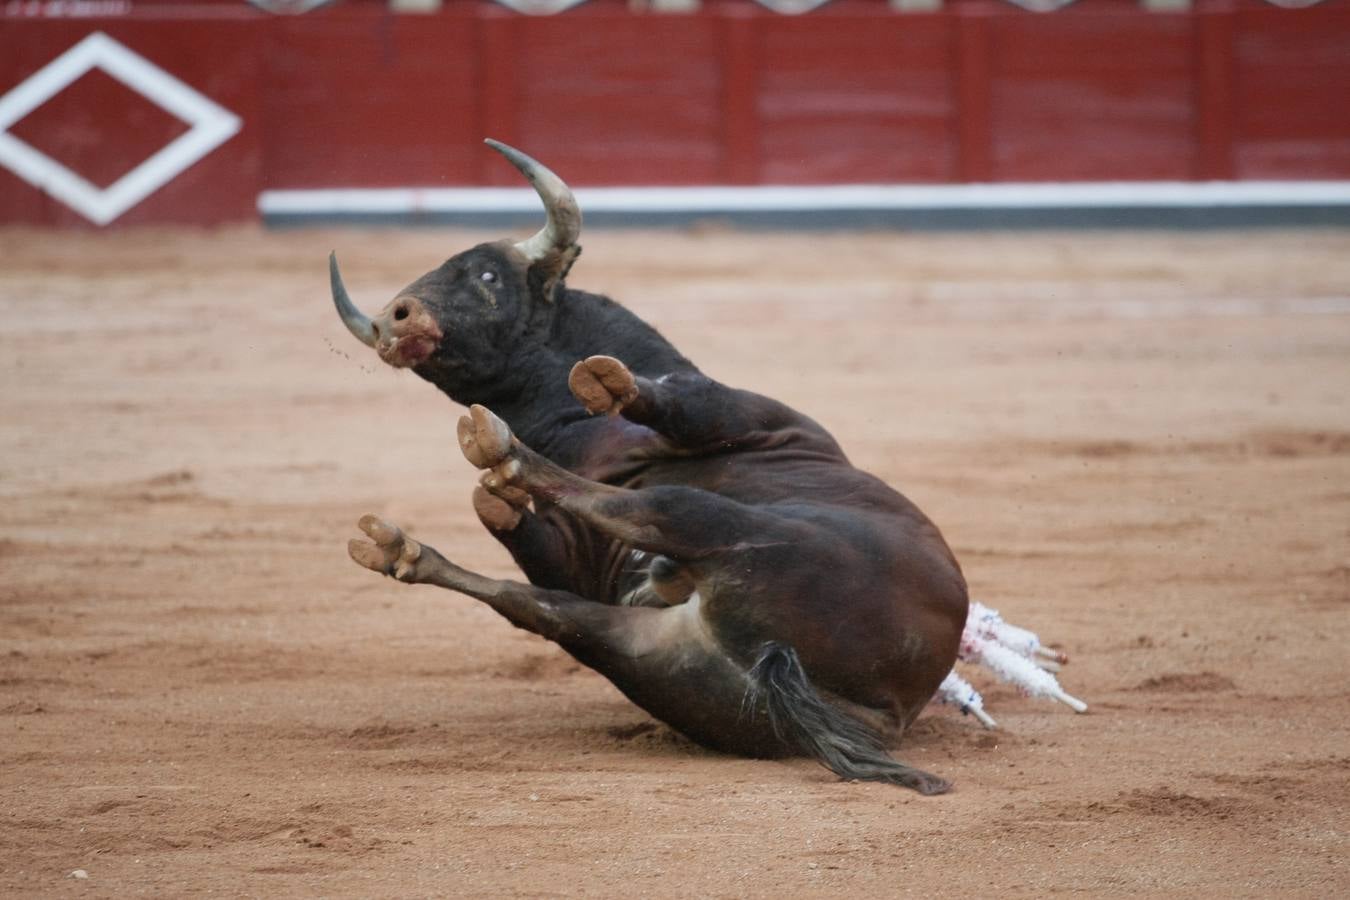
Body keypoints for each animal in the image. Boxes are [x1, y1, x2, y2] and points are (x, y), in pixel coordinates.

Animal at [330, 137, 966, 793]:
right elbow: (534, 546)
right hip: (648, 657)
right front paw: (498, 500)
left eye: (486, 273)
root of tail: (878, 712)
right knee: (542, 607)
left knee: (645, 511)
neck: (573, 430)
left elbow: (686, 401)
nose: (394, 316)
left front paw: (610, 385)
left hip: (730, 532)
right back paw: (405, 549)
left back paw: (502, 457)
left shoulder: (754, 417)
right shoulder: (579, 562)